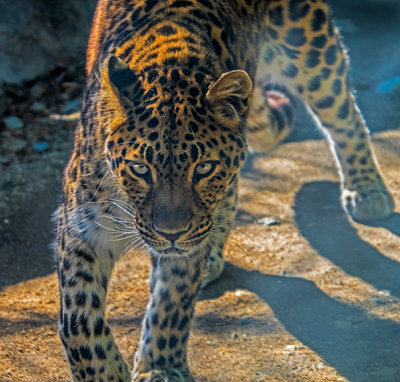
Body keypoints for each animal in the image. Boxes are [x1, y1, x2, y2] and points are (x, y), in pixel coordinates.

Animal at [55, 1, 394, 380]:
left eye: (203, 168)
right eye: (140, 169)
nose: (171, 234)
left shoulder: (183, 244)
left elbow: (172, 302)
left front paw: (161, 368)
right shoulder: (81, 225)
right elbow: (77, 314)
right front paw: (101, 371)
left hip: (312, 49)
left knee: (346, 117)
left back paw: (366, 188)